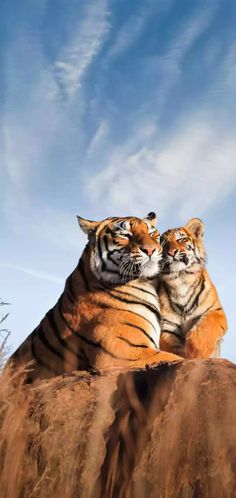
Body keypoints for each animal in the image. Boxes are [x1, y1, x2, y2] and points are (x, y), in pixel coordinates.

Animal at [158, 218, 228, 358]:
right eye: (163, 244)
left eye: (181, 239)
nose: (171, 252)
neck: (181, 279)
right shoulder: (167, 325)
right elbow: (172, 348)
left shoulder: (215, 310)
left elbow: (205, 328)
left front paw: (195, 353)